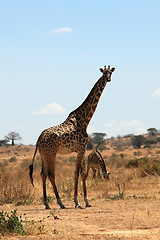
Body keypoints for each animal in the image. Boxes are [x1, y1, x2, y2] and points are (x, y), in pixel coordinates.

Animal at [29, 64, 115, 209]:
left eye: (111, 73)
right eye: (104, 73)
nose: (108, 79)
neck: (85, 119)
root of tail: (39, 139)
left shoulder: (80, 149)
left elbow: (82, 174)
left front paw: (85, 201)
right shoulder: (82, 148)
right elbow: (78, 173)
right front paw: (79, 201)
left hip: (43, 154)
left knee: (43, 174)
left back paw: (47, 203)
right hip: (51, 153)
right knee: (51, 174)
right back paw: (60, 203)